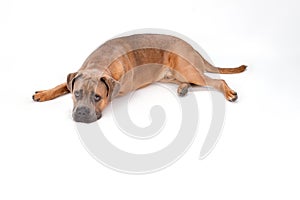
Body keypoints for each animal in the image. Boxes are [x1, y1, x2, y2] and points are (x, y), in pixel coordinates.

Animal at [32, 33, 247, 122]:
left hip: (187, 68)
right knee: (193, 82)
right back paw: (183, 88)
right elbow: (62, 84)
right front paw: (44, 93)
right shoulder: (77, 75)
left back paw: (229, 92)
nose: (82, 113)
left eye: (97, 97)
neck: (100, 63)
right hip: (172, 75)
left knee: (215, 81)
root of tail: (193, 49)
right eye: (76, 94)